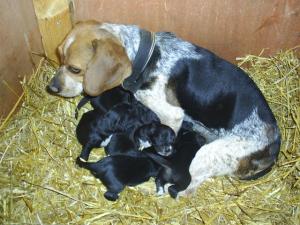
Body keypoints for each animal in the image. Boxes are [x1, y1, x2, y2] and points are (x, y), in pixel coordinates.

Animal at [47, 21, 282, 197]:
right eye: (59, 56)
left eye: (75, 69)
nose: (52, 87)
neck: (147, 58)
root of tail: (275, 146)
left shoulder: (170, 117)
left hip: (209, 154)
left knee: (187, 189)